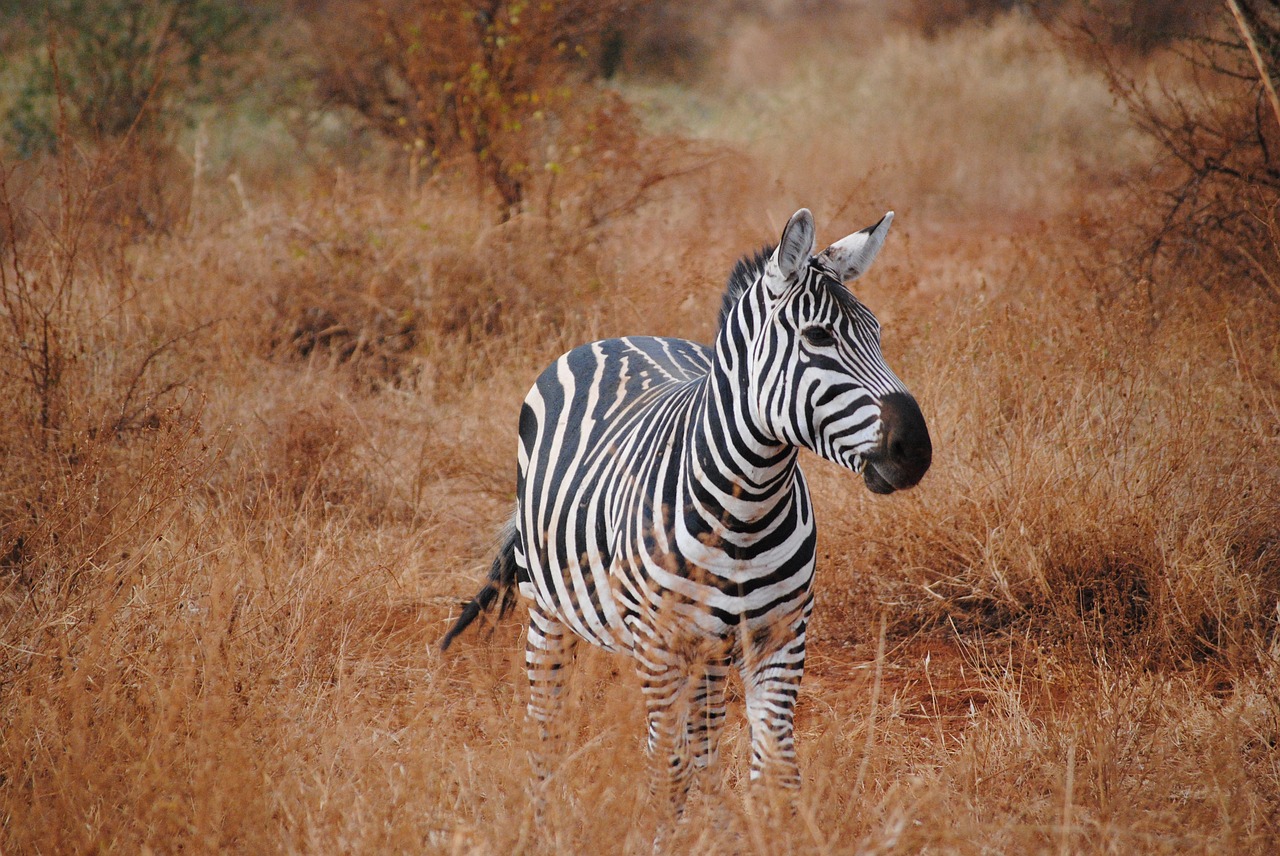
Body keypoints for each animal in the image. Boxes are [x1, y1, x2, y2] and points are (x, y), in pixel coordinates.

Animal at [442, 207, 931, 818]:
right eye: (818, 336)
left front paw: (761, 828)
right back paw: (543, 813)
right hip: (549, 608)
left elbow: (776, 769)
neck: (747, 509)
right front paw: (665, 830)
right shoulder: (659, 647)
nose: (916, 449)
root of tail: (622, 337)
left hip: (711, 650)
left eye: (878, 335)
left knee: (705, 738)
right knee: (548, 718)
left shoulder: (781, 637)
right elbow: (666, 771)